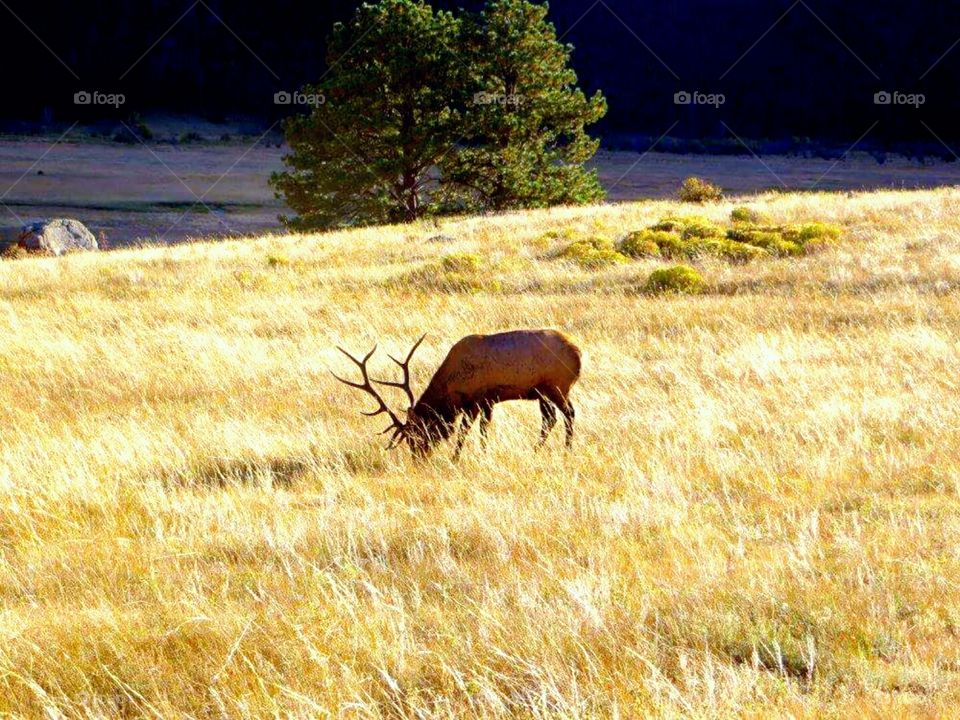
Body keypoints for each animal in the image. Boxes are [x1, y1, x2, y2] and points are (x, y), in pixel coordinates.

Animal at [332, 330, 581, 458]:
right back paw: (537, 450)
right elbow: (482, 429)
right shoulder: (487, 401)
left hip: (556, 387)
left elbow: (465, 431)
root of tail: (578, 353)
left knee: (568, 413)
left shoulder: (476, 400)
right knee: (550, 418)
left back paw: (566, 449)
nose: (418, 459)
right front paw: (481, 453)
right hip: (543, 393)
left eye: (417, 435)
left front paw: (456, 457)